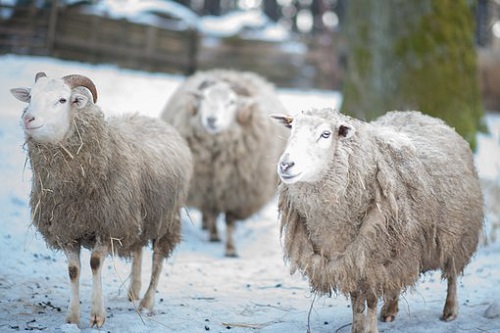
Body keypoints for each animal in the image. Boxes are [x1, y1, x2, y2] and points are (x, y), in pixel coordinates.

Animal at [10, 72, 193, 326]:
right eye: (30, 97)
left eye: (62, 100)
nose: (29, 119)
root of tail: (152, 119)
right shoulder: (69, 228)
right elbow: (73, 270)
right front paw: (72, 318)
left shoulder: (109, 225)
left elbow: (95, 263)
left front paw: (97, 315)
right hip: (138, 216)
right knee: (138, 249)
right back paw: (133, 291)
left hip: (165, 218)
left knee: (158, 259)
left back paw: (147, 303)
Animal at [162, 68, 288, 256]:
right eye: (203, 98)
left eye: (231, 102)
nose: (211, 120)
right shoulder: (207, 187)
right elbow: (211, 212)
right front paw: (214, 235)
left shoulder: (235, 192)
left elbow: (229, 221)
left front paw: (230, 249)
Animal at [274, 107, 484, 332]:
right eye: (292, 129)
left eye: (325, 134)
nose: (285, 165)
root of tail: (423, 115)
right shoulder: (353, 259)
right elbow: (356, 300)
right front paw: (357, 328)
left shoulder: (372, 254)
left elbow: (372, 299)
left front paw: (370, 329)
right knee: (394, 281)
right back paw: (390, 309)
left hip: (457, 234)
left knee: (452, 273)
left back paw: (450, 310)